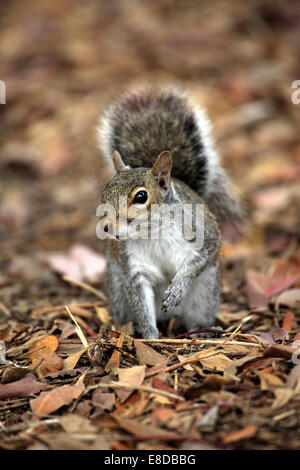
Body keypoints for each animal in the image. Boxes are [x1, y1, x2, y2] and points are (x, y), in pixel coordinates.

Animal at [97, 86, 243, 338]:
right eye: (105, 193)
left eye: (141, 197)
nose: (107, 228)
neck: (153, 230)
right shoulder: (134, 269)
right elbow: (141, 304)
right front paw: (150, 336)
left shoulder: (203, 232)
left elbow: (200, 258)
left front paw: (177, 288)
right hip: (118, 289)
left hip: (205, 293)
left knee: (197, 315)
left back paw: (203, 331)